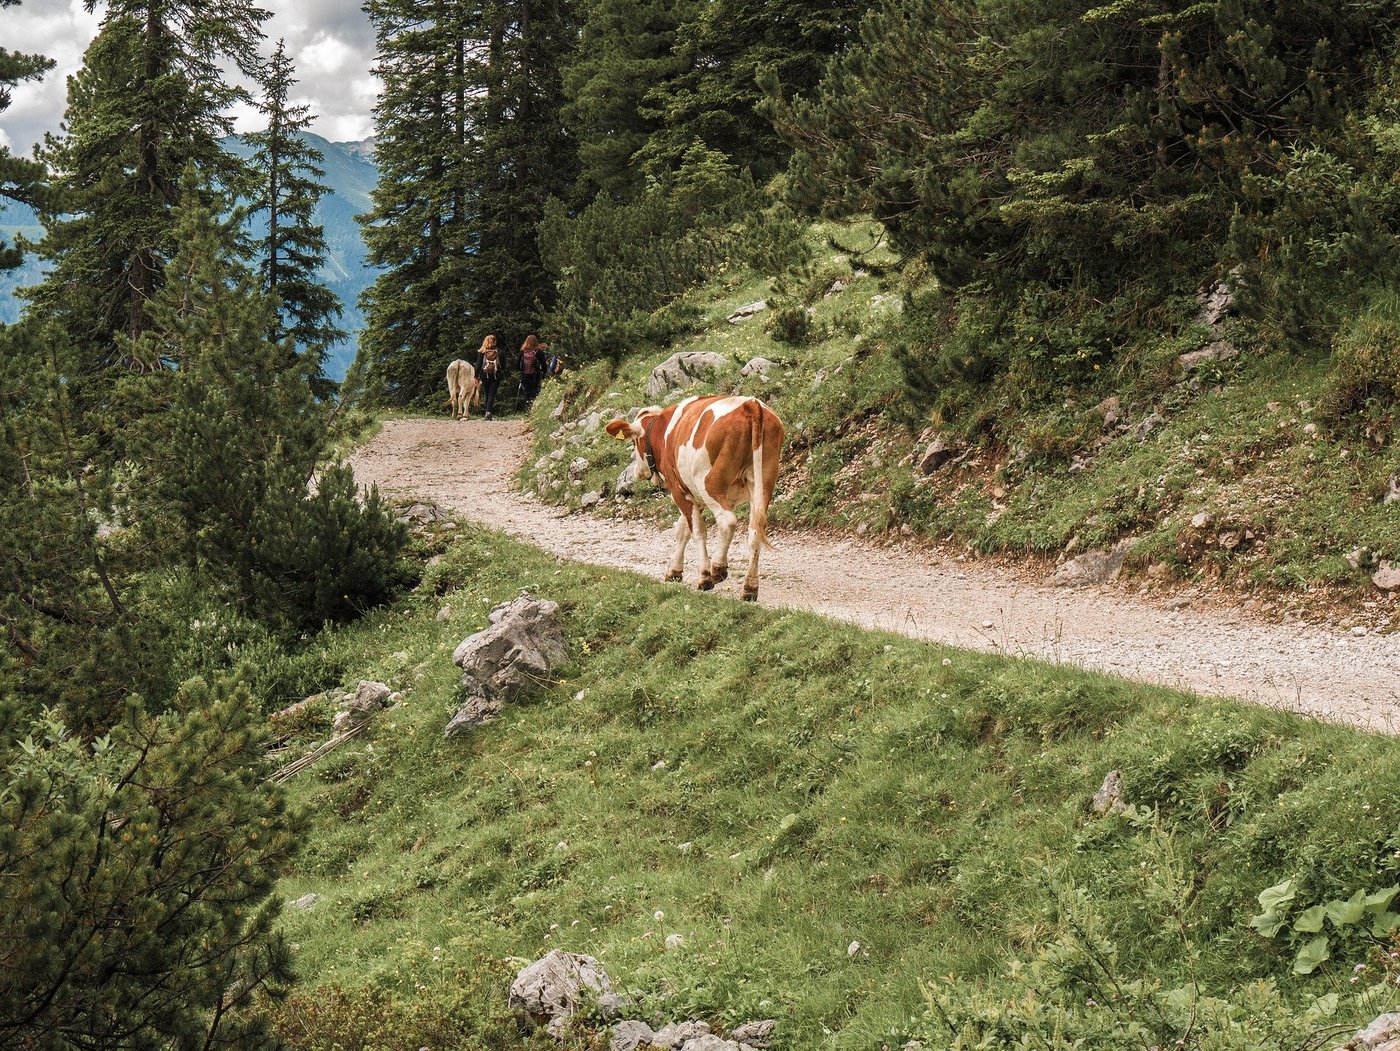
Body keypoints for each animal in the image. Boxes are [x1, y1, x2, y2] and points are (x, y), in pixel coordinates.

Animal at [606, 395, 785, 602]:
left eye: (634, 442)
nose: (637, 472)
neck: (662, 431)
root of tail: (750, 405)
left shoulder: (678, 490)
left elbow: (697, 531)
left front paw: (704, 577)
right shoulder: (693, 495)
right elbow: (682, 530)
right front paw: (674, 571)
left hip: (710, 484)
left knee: (727, 522)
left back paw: (718, 568)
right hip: (762, 482)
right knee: (755, 530)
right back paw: (750, 587)